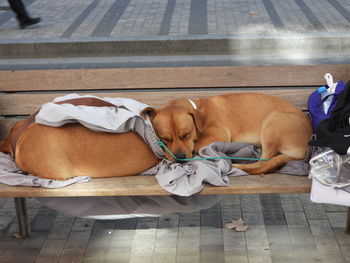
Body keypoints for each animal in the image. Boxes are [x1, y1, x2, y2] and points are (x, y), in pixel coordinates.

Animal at [142, 93, 312, 175]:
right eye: (164, 139)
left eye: (186, 134)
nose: (180, 157)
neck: (199, 111)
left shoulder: (217, 136)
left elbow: (197, 145)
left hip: (272, 121)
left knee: (262, 163)